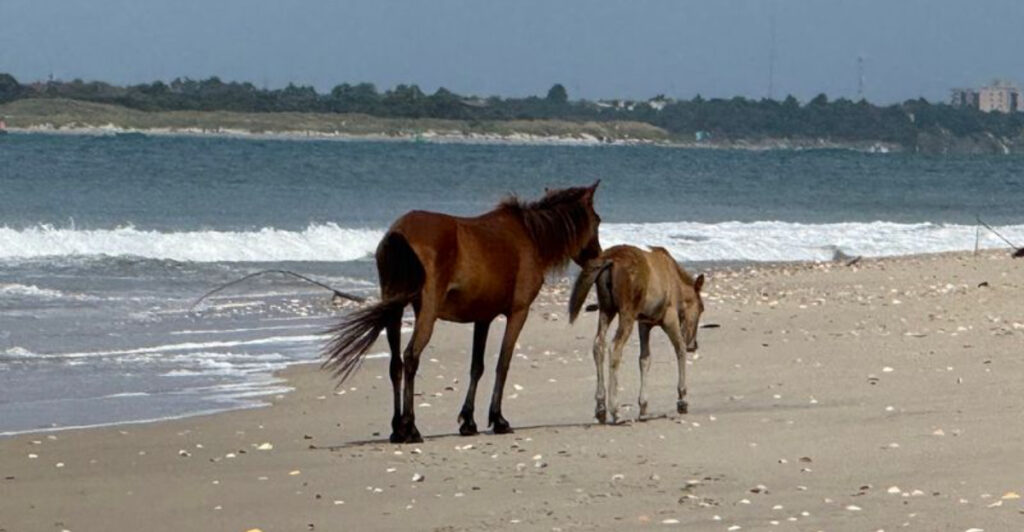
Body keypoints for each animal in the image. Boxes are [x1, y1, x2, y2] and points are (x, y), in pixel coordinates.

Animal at [323, 182, 602, 443]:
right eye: (598, 221)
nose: (599, 258)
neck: (530, 236)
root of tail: (399, 232)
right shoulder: (518, 312)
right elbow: (503, 363)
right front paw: (498, 420)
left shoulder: (483, 318)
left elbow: (477, 367)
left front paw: (468, 422)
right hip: (427, 311)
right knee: (411, 357)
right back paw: (410, 428)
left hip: (394, 310)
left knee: (396, 364)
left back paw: (397, 429)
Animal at [568, 245, 705, 424]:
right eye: (701, 308)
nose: (693, 345)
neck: (677, 284)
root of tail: (608, 260)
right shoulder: (669, 317)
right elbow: (679, 349)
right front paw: (682, 400)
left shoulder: (644, 323)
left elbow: (644, 359)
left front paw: (643, 407)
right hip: (626, 312)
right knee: (615, 347)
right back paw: (615, 410)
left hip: (606, 309)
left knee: (598, 345)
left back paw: (601, 408)